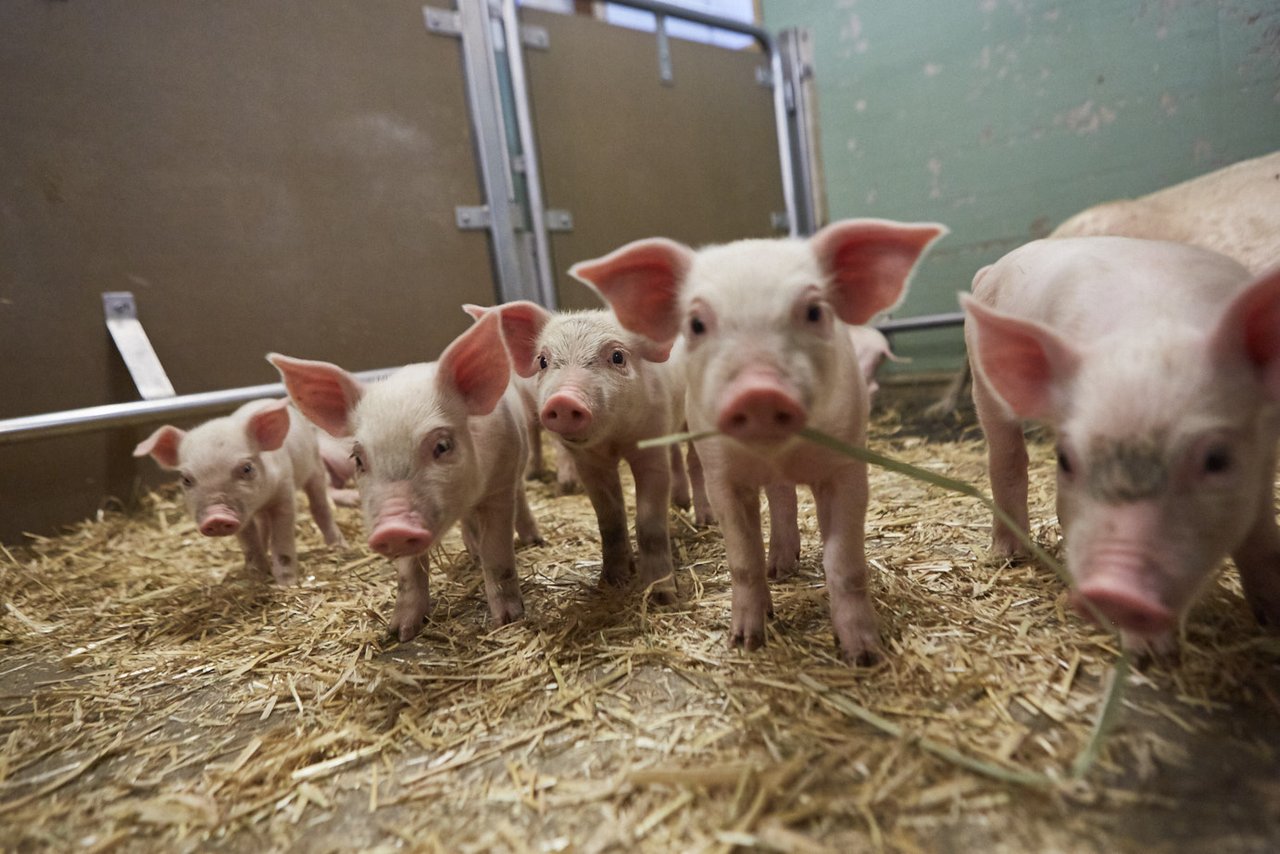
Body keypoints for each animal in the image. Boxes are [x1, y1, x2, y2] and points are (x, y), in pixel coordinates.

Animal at [133, 396, 345, 583]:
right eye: (186, 479)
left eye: (247, 468)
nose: (216, 517)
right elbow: (249, 541)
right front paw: (256, 575)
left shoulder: (284, 492)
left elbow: (282, 538)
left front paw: (287, 583)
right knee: (263, 524)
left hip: (315, 466)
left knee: (320, 506)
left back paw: (338, 546)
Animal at [270, 312, 540, 640]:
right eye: (357, 458)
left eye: (442, 445)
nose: (393, 527)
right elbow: (409, 573)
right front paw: (399, 633)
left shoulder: (499, 486)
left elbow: (497, 552)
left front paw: (507, 621)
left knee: (520, 499)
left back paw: (533, 541)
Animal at [565, 218, 947, 660]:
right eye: (696, 324)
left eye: (814, 312)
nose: (758, 390)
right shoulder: (722, 476)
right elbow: (744, 559)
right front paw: (746, 642)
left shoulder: (847, 468)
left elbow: (845, 563)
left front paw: (864, 656)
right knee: (780, 498)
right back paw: (778, 571)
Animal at [962, 234, 1280, 655]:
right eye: (1065, 460)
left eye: (1217, 459)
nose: (1114, 592)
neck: (1154, 329)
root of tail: (990, 268)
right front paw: (1148, 653)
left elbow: (1260, 534)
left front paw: (1271, 618)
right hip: (983, 382)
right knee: (1006, 456)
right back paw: (1008, 555)